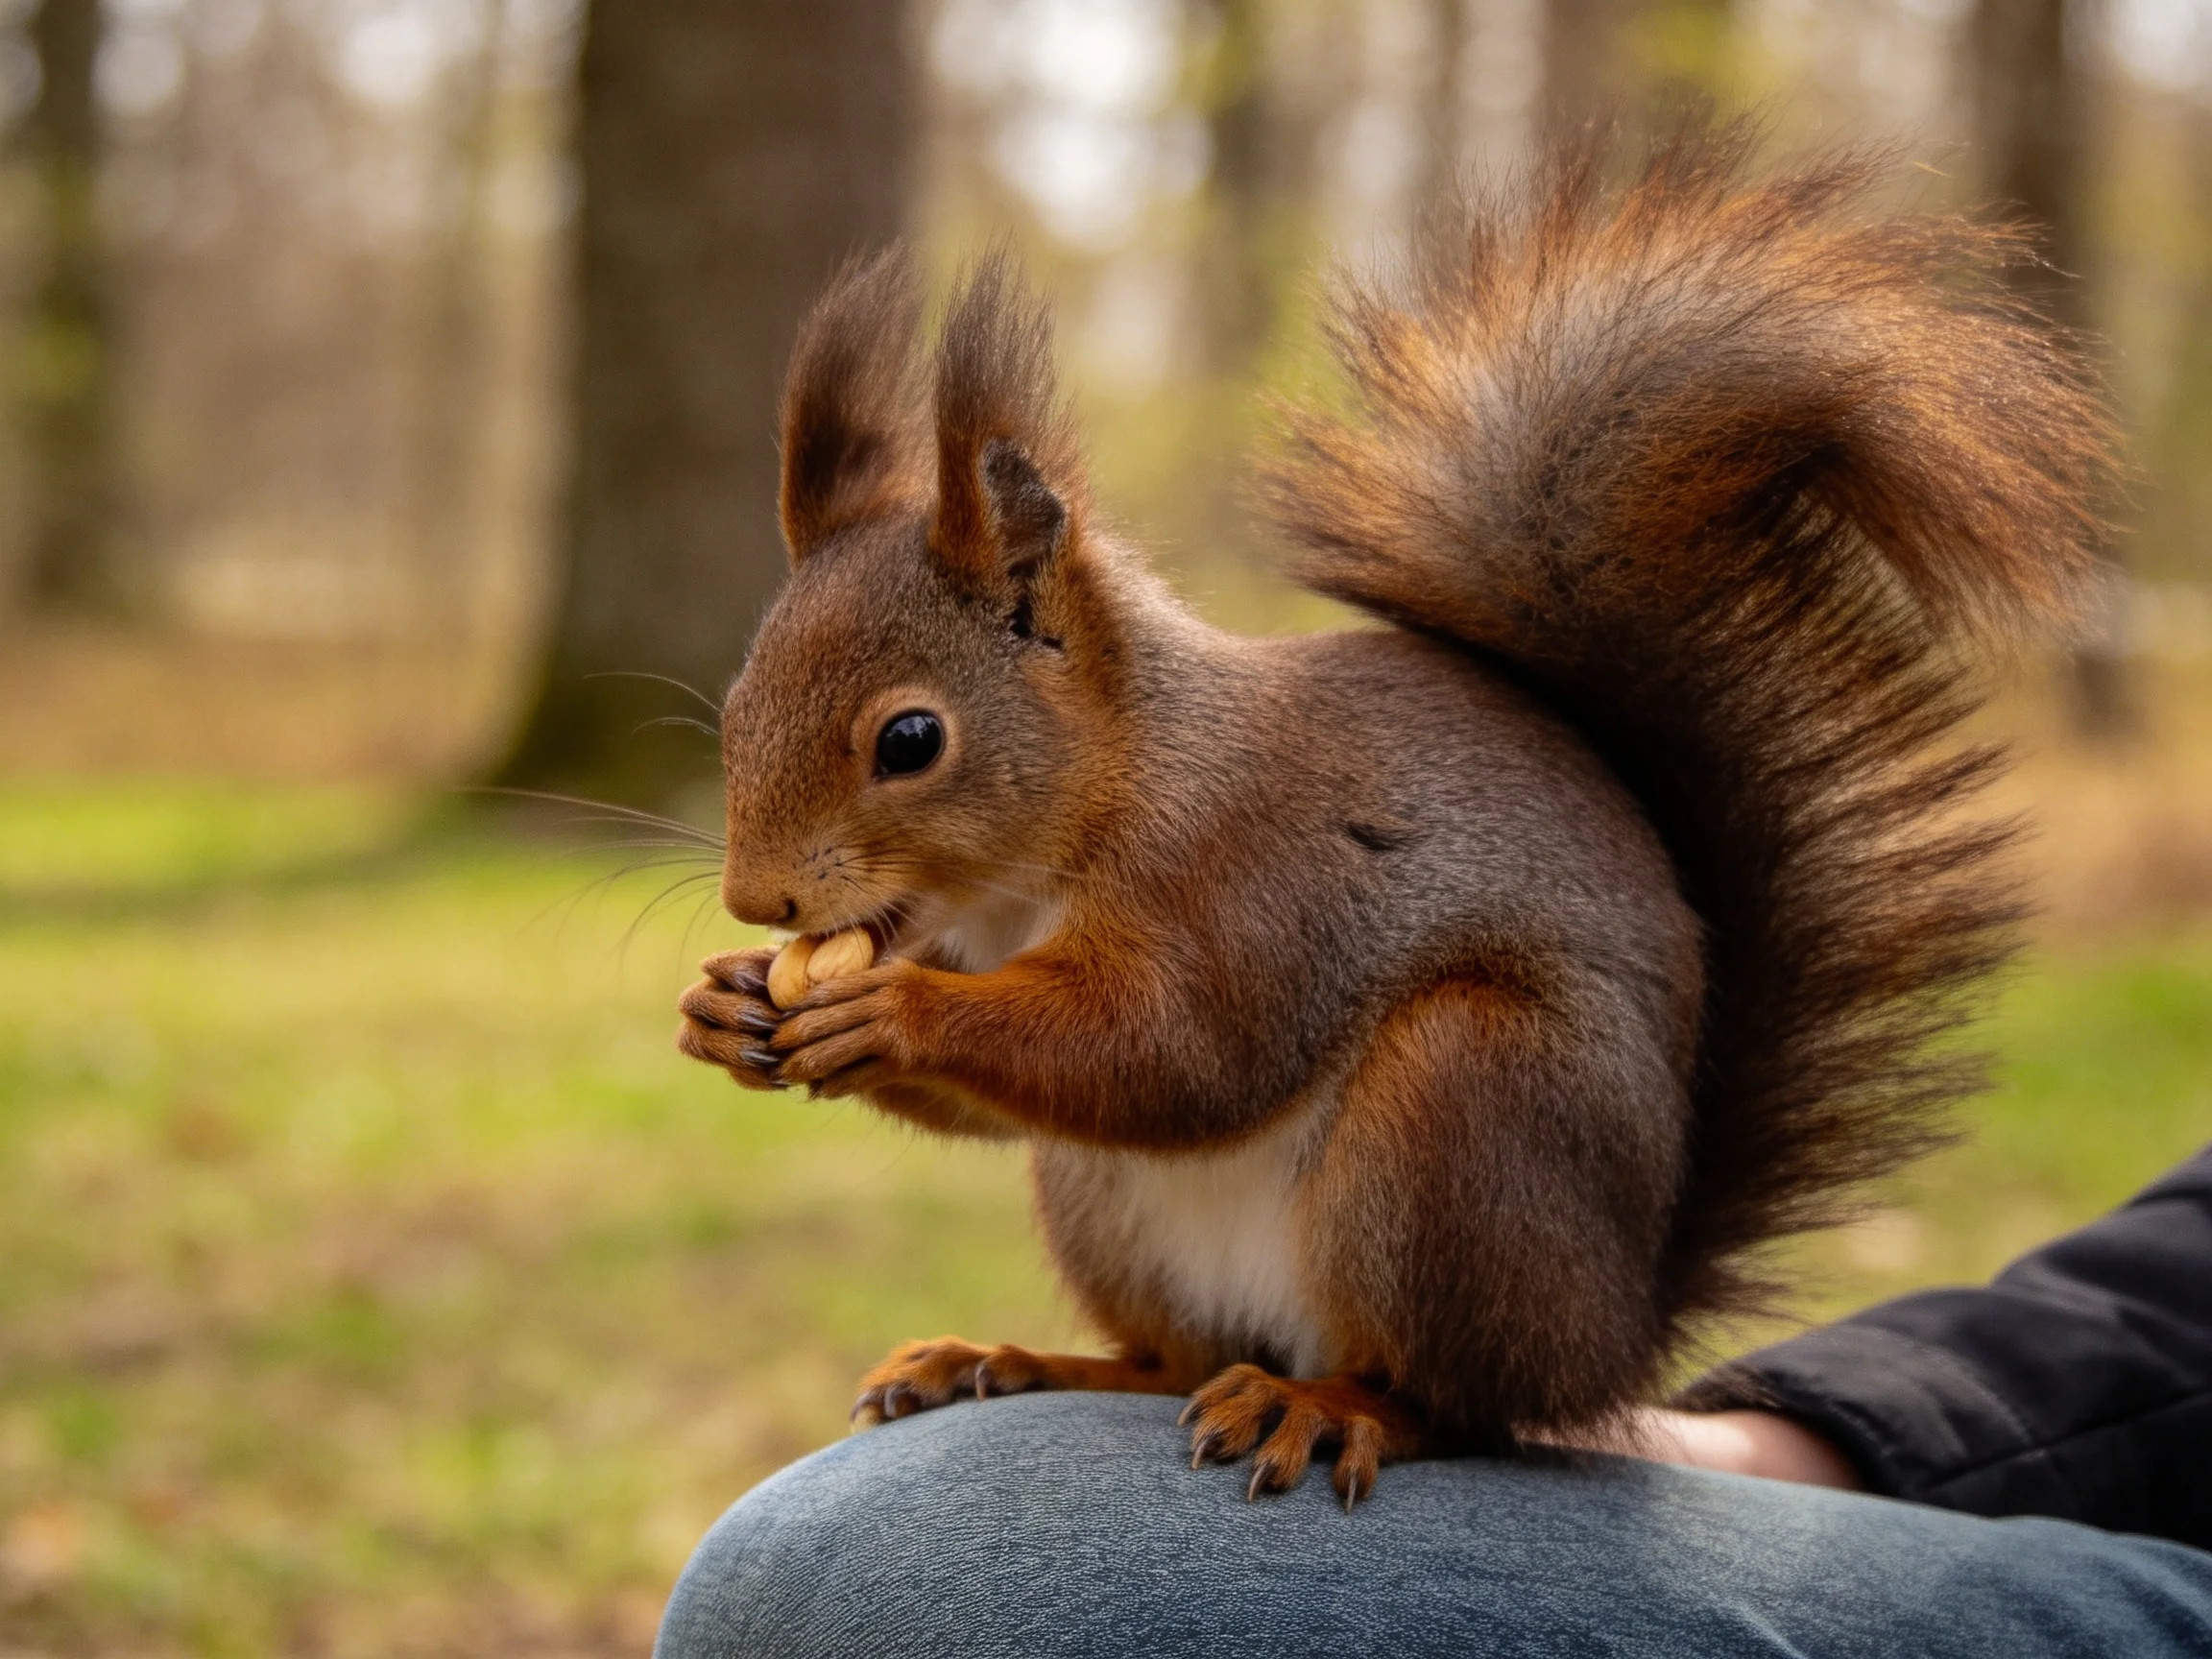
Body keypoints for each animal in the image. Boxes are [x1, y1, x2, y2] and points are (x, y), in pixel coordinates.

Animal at [676, 124, 2114, 1508]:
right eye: (738, 702)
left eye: (911, 740)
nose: (760, 899)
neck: (1059, 849)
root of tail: (1615, 1332)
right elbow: (1033, 1098)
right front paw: (727, 1002)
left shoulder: (1261, 875)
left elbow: (1175, 1051)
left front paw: (890, 1010)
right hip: (1109, 1207)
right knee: (1174, 1358)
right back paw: (1017, 1361)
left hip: (1464, 1116)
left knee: (1453, 1402)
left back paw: (1325, 1407)